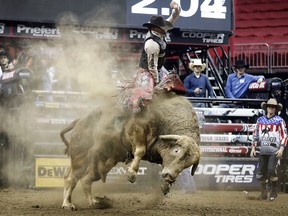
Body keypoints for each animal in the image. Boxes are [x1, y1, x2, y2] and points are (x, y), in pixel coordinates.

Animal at [60, 90, 200, 209]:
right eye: (176, 151)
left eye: (188, 164)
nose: (170, 177)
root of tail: (79, 121)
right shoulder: (137, 130)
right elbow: (140, 150)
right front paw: (131, 173)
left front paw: (166, 185)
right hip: (80, 156)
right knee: (71, 179)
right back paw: (67, 204)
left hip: (101, 163)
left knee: (85, 180)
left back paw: (93, 202)